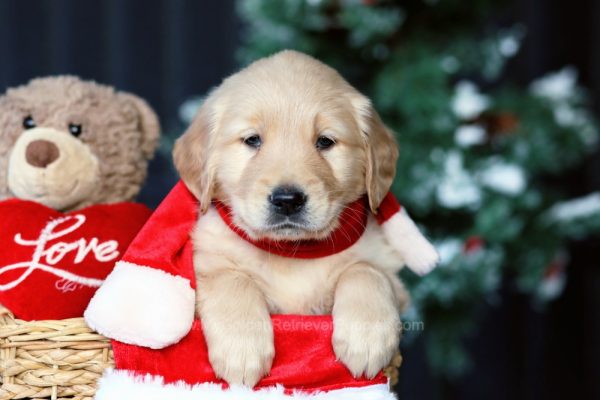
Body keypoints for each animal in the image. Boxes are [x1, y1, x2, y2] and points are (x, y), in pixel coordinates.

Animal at [175, 50, 412, 388]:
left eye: (325, 141)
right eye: (252, 140)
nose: (287, 201)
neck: (293, 252)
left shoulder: (393, 278)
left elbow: (366, 270)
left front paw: (366, 337)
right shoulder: (203, 260)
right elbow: (230, 276)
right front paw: (242, 349)